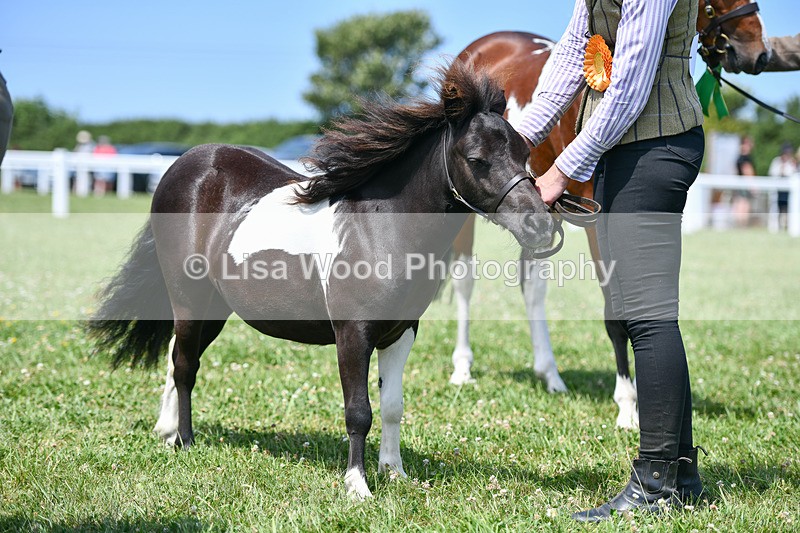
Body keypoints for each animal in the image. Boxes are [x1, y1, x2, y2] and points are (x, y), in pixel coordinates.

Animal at [88, 62, 559, 500]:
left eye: (524, 154)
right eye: (477, 160)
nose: (540, 227)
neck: (378, 228)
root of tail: (184, 166)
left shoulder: (401, 332)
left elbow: (392, 406)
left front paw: (394, 473)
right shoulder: (353, 334)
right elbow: (359, 411)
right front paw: (358, 485)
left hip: (216, 309)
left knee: (175, 357)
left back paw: (166, 430)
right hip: (188, 298)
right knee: (185, 365)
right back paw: (184, 441)